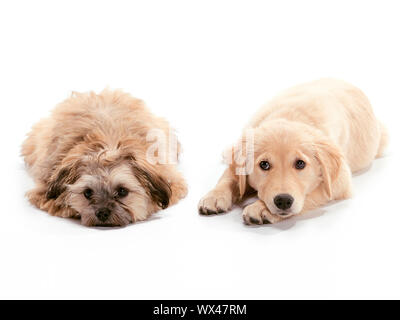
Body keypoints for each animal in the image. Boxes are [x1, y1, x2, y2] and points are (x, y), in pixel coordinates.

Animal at [199, 79, 388, 224]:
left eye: (300, 164)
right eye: (264, 165)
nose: (283, 201)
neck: (290, 117)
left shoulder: (340, 182)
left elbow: (312, 193)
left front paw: (261, 208)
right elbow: (229, 178)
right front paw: (214, 196)